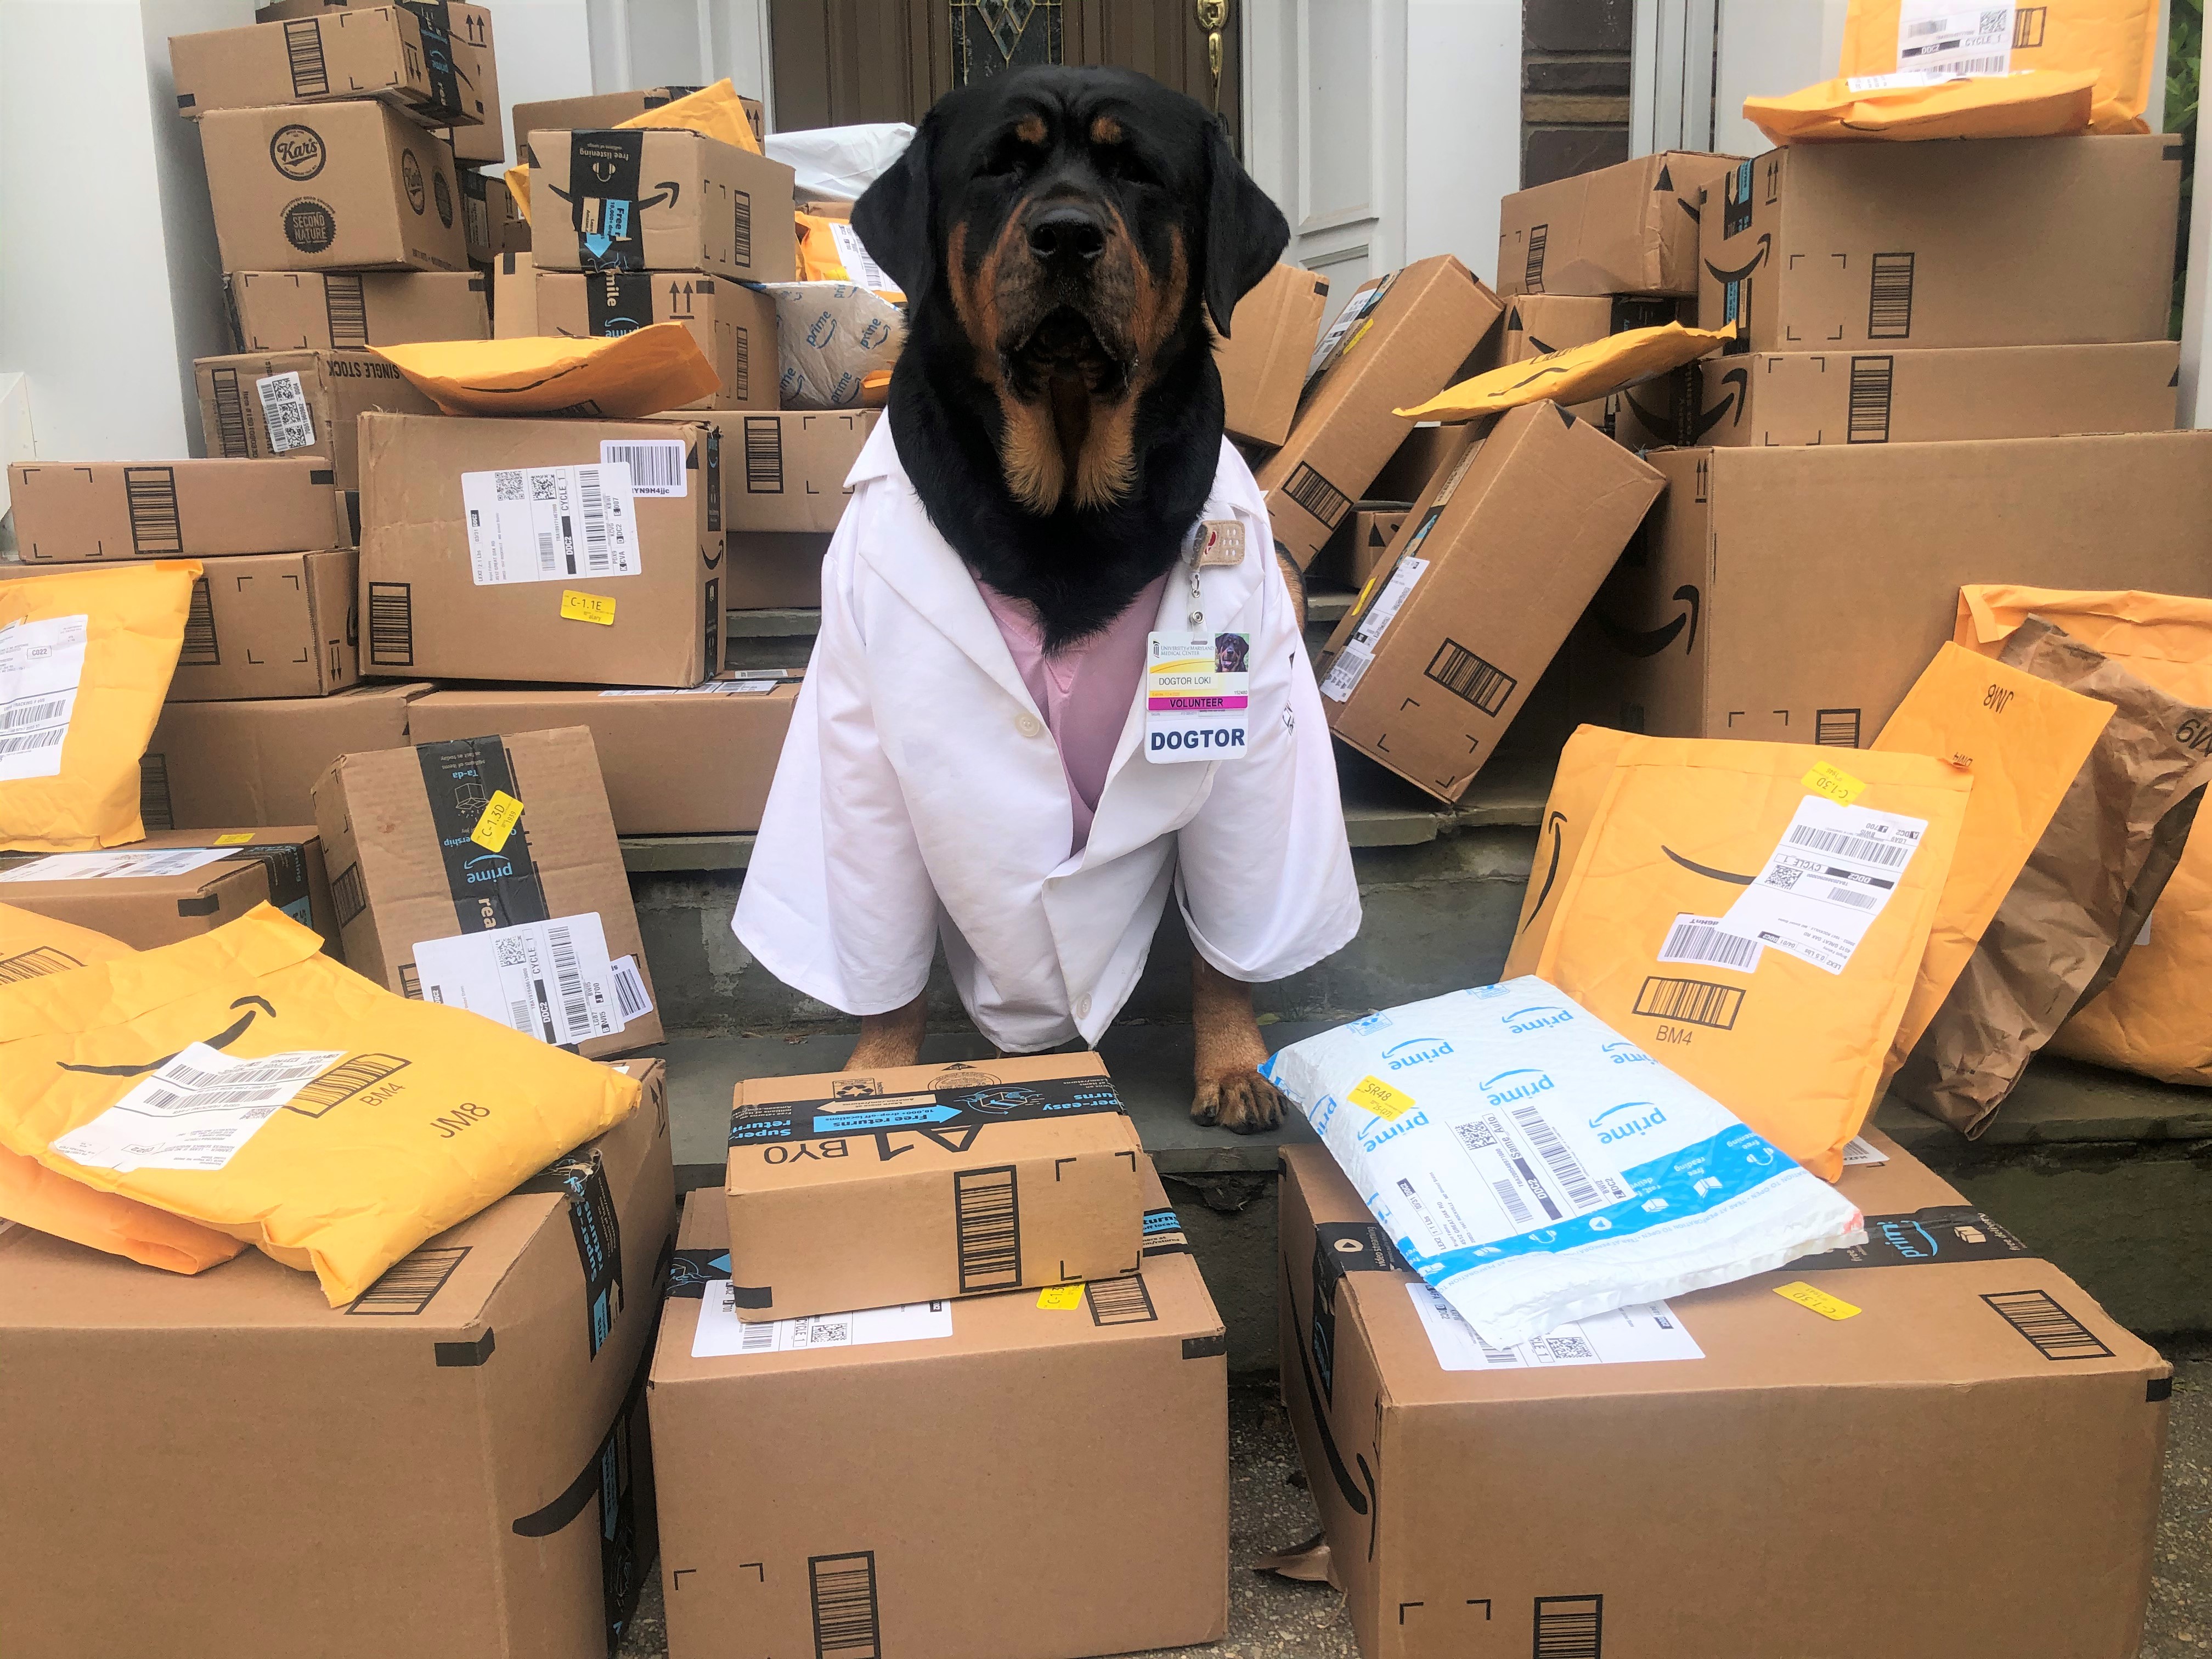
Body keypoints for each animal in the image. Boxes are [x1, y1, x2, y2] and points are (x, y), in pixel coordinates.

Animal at [836, 65, 1300, 1132]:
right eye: (999, 166)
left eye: (1137, 173)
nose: (1065, 234)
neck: (1063, 503)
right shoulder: (858, 734)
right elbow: (883, 936)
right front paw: (873, 1072)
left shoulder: (1252, 743)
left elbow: (1230, 926)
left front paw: (1234, 1062)